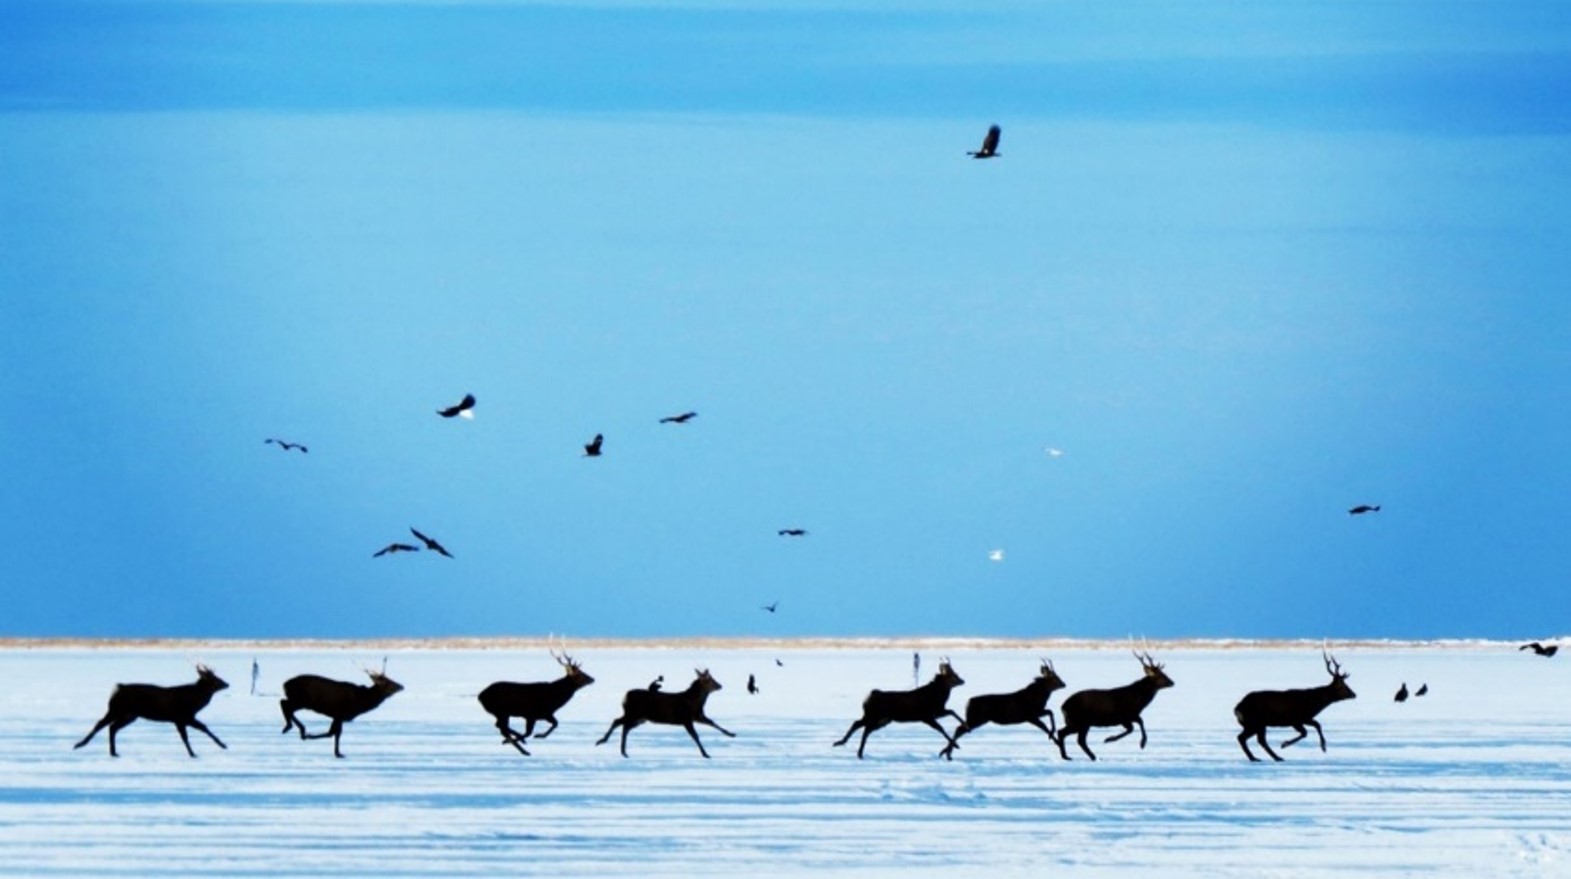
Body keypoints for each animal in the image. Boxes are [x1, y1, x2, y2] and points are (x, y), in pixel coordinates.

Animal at [74, 665, 229, 756]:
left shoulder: (184, 718)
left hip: (130, 715)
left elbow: (199, 730)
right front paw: (195, 753)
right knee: (100, 724)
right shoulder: (181, 716)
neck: (195, 701)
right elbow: (191, 734)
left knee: (112, 727)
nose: (227, 684)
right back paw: (79, 744)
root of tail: (118, 688)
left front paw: (222, 745)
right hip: (117, 709)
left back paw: (113, 752)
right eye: (214, 679)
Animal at [593, 665, 735, 756]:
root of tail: (625, 697)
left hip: (640, 718)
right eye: (709, 680)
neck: (694, 703)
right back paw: (604, 742)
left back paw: (622, 751)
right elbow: (695, 736)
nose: (720, 685)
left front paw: (731, 734)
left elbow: (713, 723)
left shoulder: (698, 716)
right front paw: (705, 754)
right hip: (634, 713)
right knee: (618, 722)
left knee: (623, 725)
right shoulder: (686, 718)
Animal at [829, 656, 961, 759]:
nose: (962, 680)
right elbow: (941, 728)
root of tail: (868, 697)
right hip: (875, 716)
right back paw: (854, 750)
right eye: (953, 675)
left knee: (861, 726)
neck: (937, 697)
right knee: (862, 726)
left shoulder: (937, 712)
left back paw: (846, 746)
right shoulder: (926, 716)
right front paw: (955, 745)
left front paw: (962, 725)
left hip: (882, 719)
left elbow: (952, 711)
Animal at [930, 662, 1068, 759]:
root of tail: (968, 703)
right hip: (977, 718)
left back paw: (947, 753)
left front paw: (1055, 740)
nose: (1064, 684)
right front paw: (1056, 742)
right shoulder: (1030, 715)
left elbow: (1049, 713)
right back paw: (947, 753)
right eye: (1055, 678)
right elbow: (1046, 723)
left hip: (977, 719)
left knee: (960, 728)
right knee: (960, 729)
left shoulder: (1034, 714)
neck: (1038, 698)